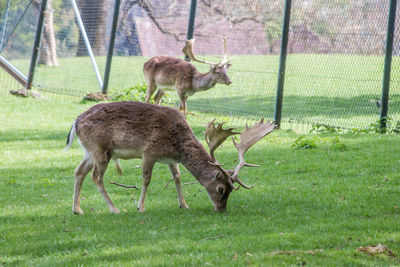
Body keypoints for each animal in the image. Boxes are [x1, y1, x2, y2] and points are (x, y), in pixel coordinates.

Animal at [65, 101, 276, 216]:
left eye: (232, 190)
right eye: (221, 189)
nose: (221, 209)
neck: (177, 145)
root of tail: (75, 122)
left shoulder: (171, 159)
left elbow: (177, 177)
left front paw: (184, 205)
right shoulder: (149, 151)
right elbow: (146, 179)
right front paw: (140, 207)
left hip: (89, 151)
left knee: (78, 172)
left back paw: (77, 209)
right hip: (101, 149)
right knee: (96, 177)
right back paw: (114, 209)